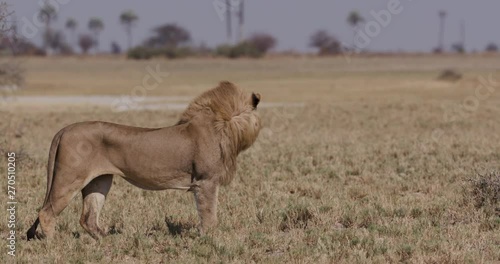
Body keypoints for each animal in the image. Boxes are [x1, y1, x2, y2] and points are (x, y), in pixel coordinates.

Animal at [26, 81, 262, 240]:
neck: (223, 126)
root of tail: (64, 129)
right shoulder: (205, 181)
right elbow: (209, 213)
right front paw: (209, 238)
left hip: (99, 180)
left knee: (88, 218)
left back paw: (108, 241)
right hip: (69, 178)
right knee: (46, 213)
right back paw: (54, 243)